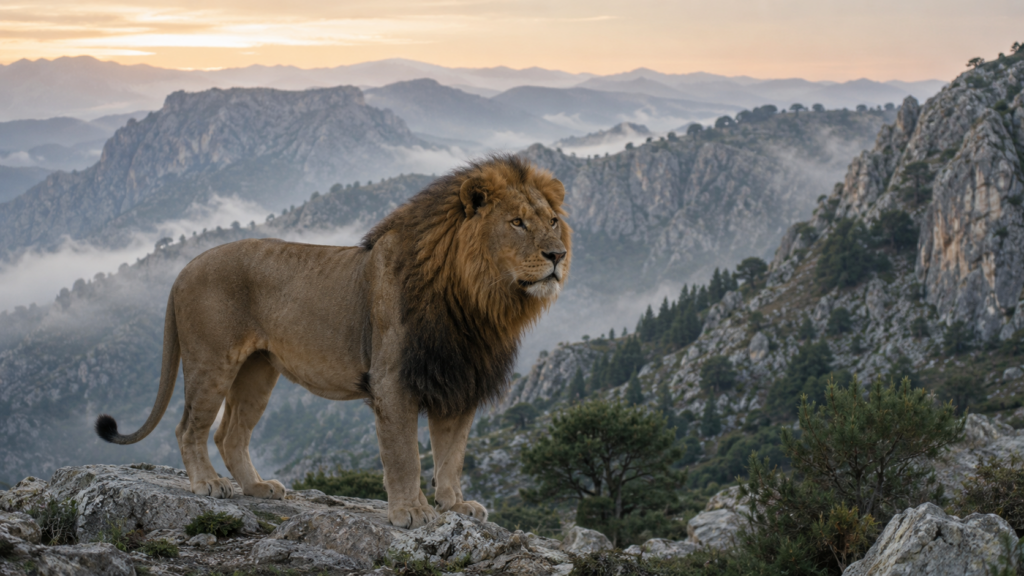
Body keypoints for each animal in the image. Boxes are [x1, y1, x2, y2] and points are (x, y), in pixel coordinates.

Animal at [95, 154, 571, 529]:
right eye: (517, 222)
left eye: (552, 221)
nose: (558, 256)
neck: (478, 303)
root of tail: (184, 269)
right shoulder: (393, 382)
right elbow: (406, 456)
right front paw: (411, 512)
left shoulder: (458, 382)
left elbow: (451, 454)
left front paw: (455, 505)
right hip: (212, 361)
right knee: (189, 427)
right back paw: (209, 484)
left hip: (258, 370)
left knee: (229, 434)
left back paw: (257, 487)